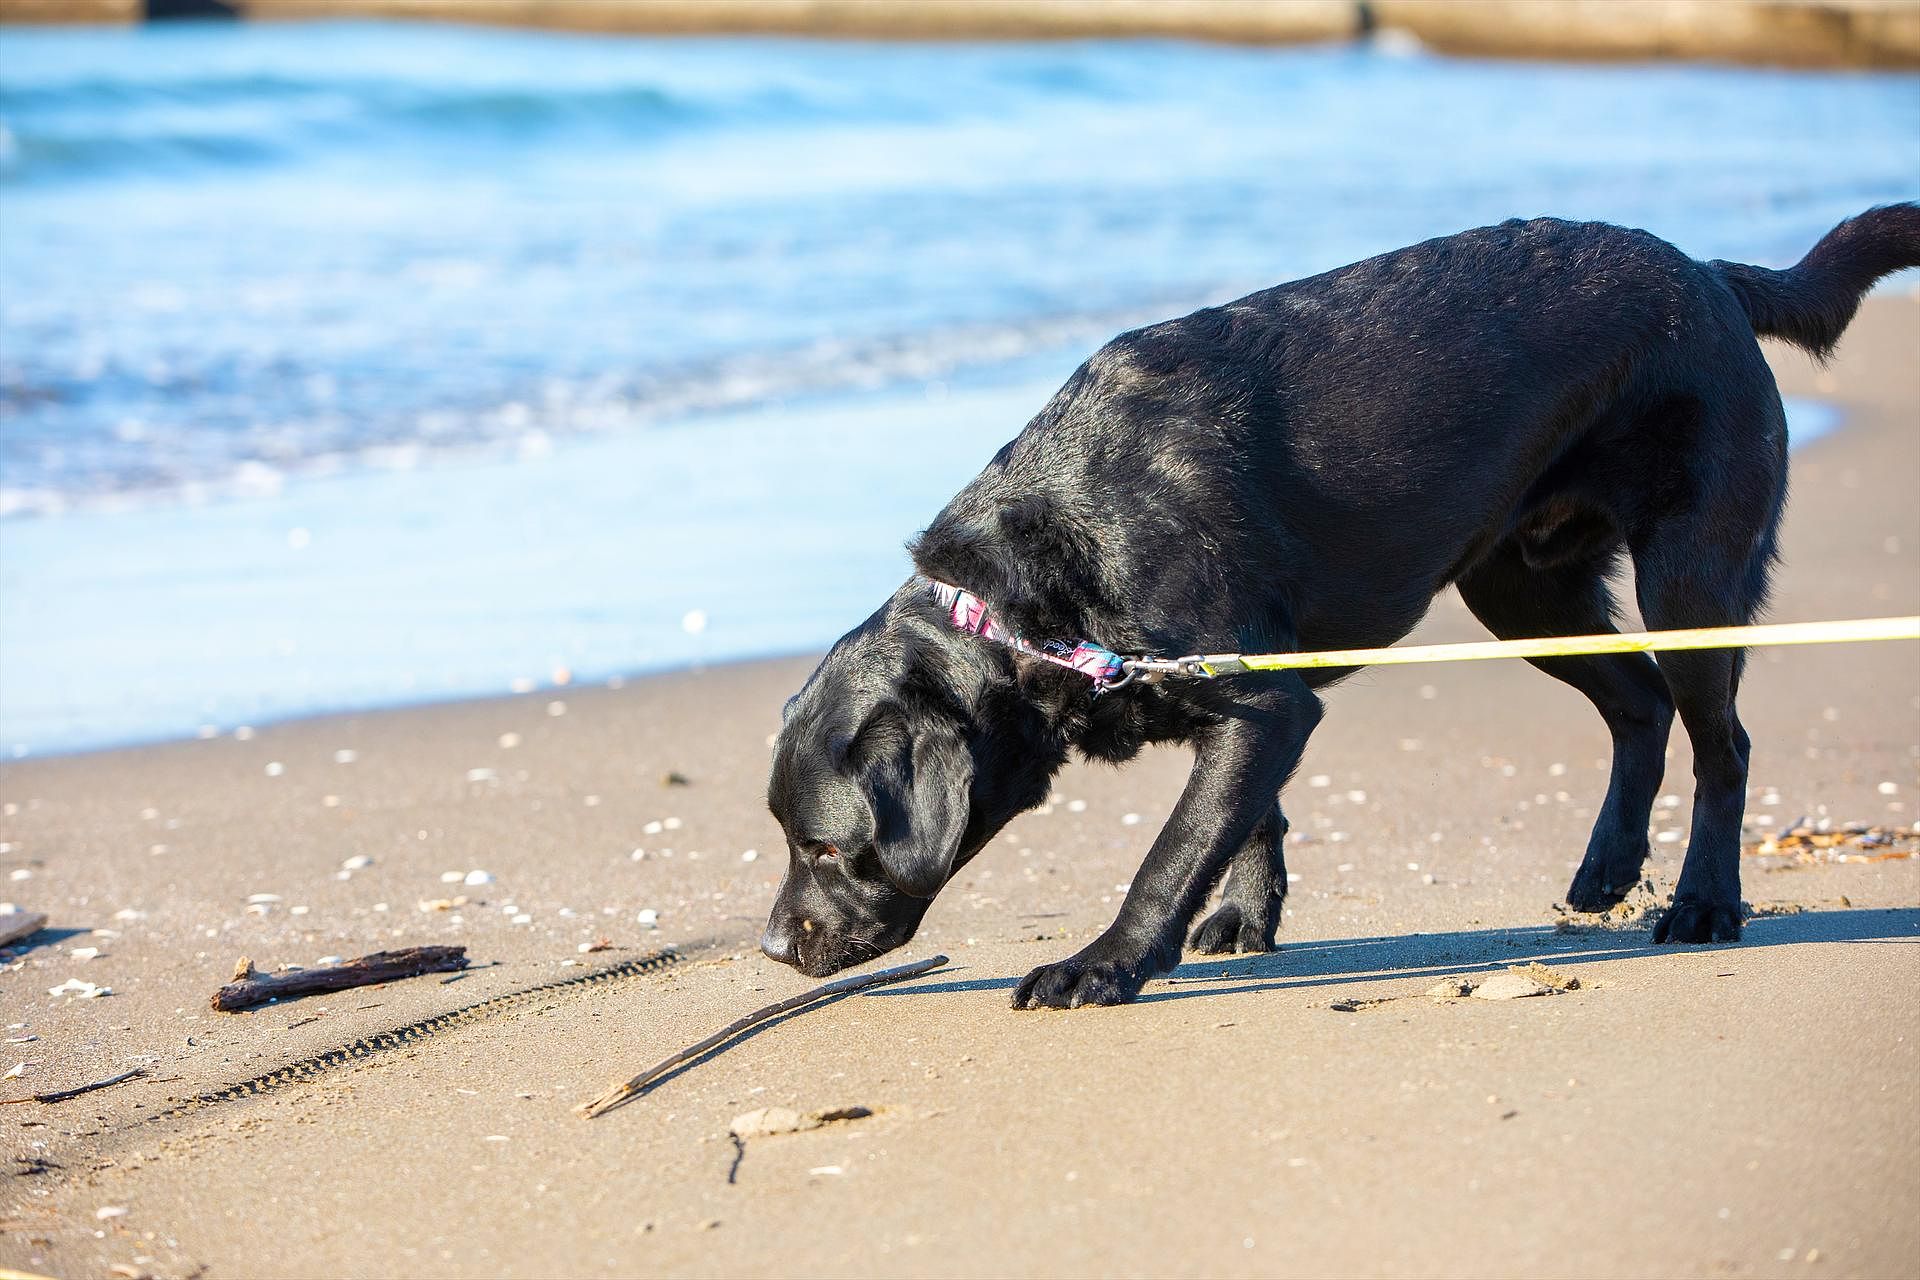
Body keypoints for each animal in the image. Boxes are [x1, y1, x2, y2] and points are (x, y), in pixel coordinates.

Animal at [756, 205, 1912, 1013]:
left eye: (825, 848)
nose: (771, 945)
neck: (1042, 576)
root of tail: (1712, 274)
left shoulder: (1261, 700)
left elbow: (1173, 847)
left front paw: (1107, 964)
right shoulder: (1251, 702)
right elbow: (1244, 821)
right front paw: (1245, 913)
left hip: (1691, 579)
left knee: (1725, 742)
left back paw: (1705, 901)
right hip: (1521, 588)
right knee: (1639, 705)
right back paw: (1606, 868)